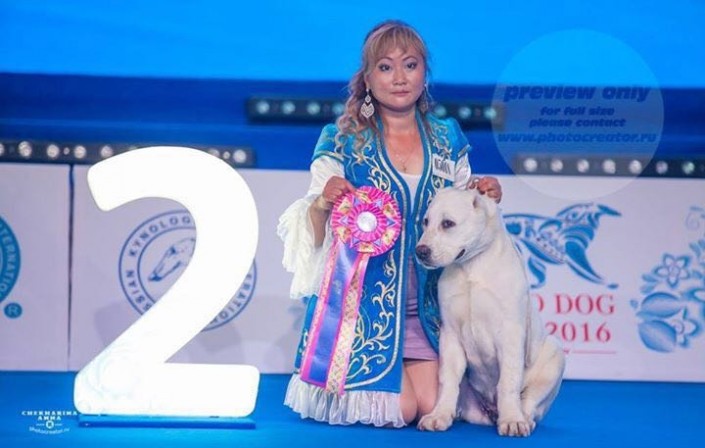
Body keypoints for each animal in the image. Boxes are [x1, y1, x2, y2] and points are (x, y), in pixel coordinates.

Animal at [415, 188, 565, 437]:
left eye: (448, 223)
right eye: (426, 222)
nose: (420, 251)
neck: (471, 266)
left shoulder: (510, 333)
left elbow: (508, 381)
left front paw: (512, 420)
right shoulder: (450, 335)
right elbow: (448, 379)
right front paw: (439, 416)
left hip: (555, 354)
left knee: (530, 403)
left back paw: (521, 418)